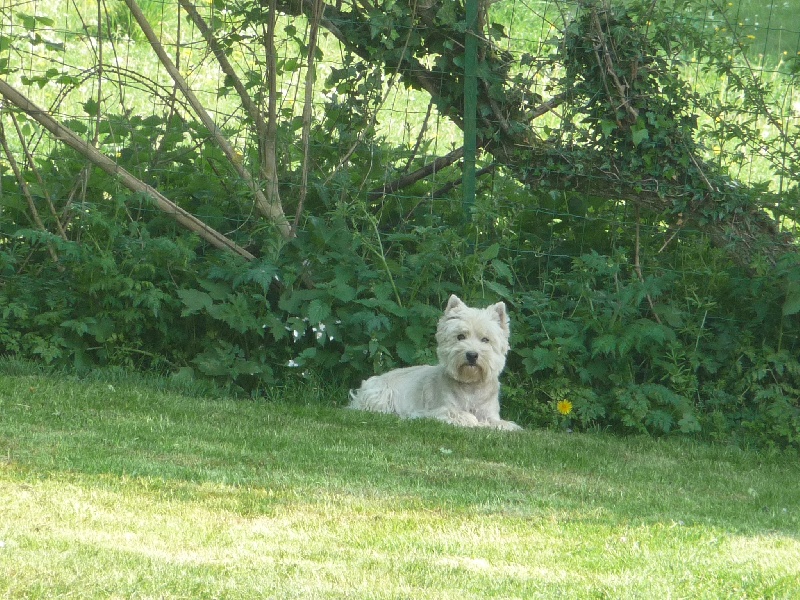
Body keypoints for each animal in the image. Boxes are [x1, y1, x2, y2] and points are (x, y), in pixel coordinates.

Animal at [346, 292, 520, 428]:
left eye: (485, 339)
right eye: (460, 337)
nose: (472, 355)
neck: (470, 386)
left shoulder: (490, 413)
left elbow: (502, 423)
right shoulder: (437, 410)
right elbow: (463, 415)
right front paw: (474, 422)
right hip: (380, 394)